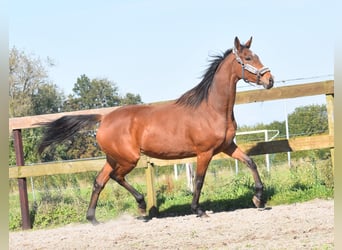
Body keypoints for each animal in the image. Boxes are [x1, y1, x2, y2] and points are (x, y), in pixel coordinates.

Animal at [37, 35, 274, 225]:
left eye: (256, 55)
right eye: (248, 58)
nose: (269, 80)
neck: (211, 108)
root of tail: (104, 118)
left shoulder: (227, 146)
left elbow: (251, 162)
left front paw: (258, 199)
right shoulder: (204, 153)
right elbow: (199, 180)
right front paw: (198, 210)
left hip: (113, 158)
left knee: (99, 182)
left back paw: (93, 218)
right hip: (128, 159)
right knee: (116, 177)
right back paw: (142, 207)